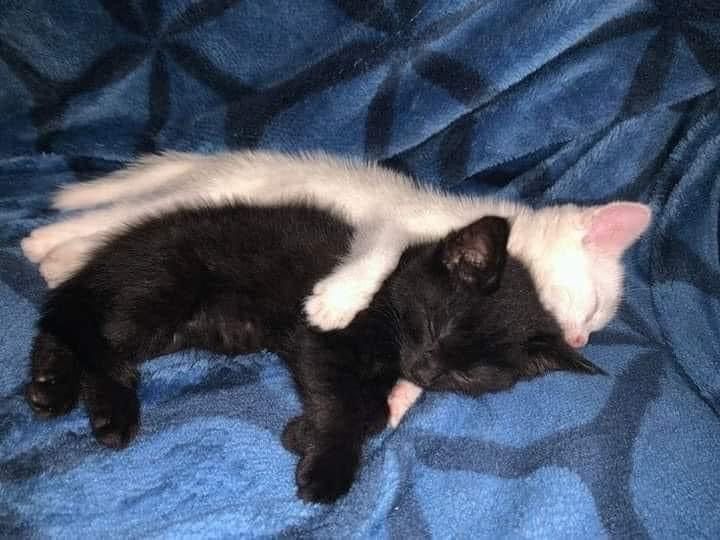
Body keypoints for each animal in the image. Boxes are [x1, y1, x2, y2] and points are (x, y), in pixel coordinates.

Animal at [22, 151, 652, 426]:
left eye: (595, 326)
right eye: (594, 308)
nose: (579, 339)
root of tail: (225, 160)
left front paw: (400, 399)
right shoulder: (395, 224)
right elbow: (379, 252)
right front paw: (337, 301)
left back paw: (59, 264)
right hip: (201, 198)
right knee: (114, 218)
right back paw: (44, 242)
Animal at [25, 201, 600, 502]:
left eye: (470, 375)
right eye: (438, 325)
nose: (424, 369)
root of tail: (114, 252)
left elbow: (370, 407)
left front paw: (302, 433)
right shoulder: (321, 334)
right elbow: (348, 404)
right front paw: (327, 467)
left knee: (67, 329)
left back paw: (50, 388)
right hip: (163, 288)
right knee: (97, 342)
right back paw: (111, 410)